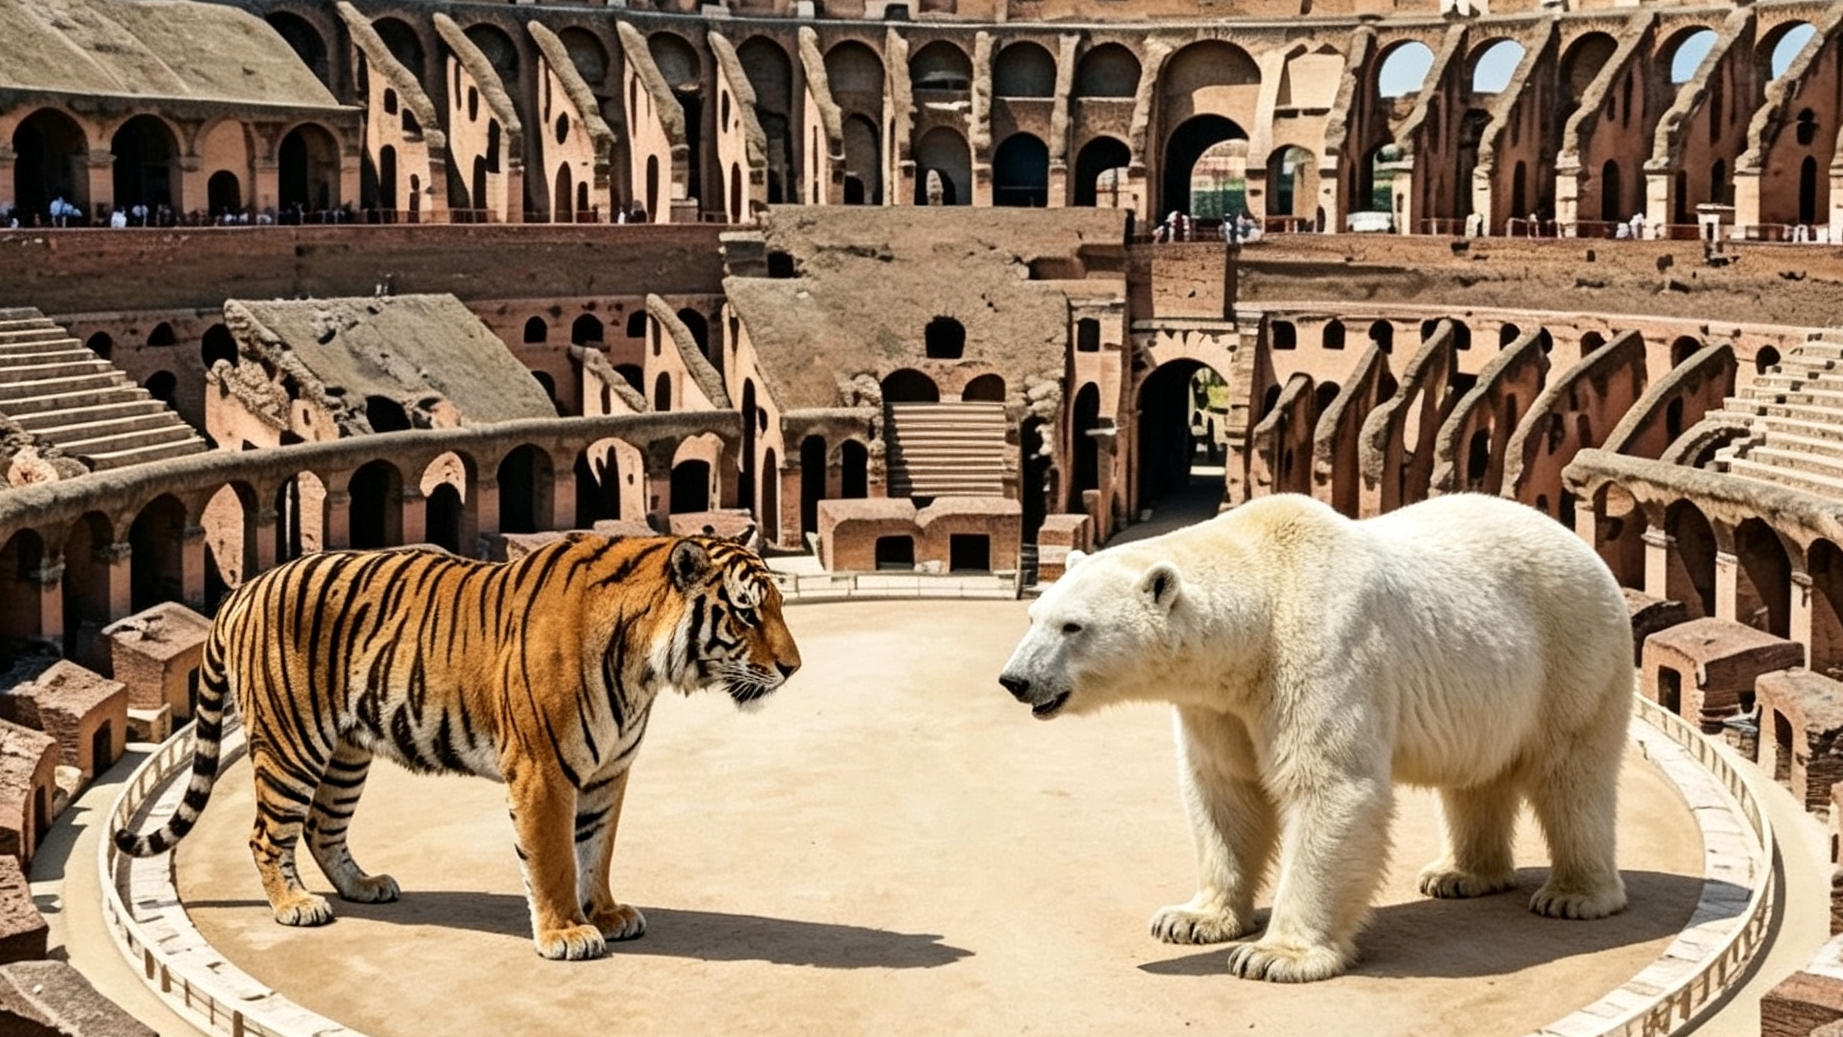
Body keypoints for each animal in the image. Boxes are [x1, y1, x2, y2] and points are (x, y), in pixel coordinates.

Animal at [115, 531, 801, 961]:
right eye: (745, 612)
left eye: (777, 605)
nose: (794, 668)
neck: (643, 669)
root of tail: (242, 590)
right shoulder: (544, 770)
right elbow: (553, 857)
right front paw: (566, 934)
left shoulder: (609, 772)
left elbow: (595, 851)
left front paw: (603, 913)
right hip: (292, 744)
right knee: (268, 832)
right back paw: (294, 905)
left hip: (346, 754)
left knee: (321, 827)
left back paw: (363, 886)